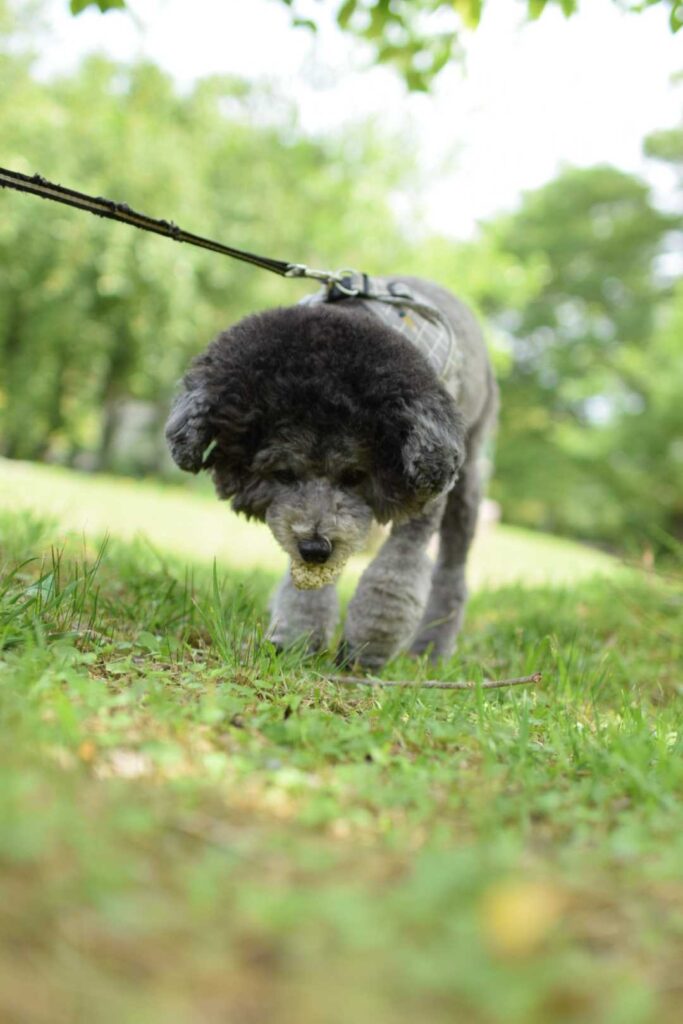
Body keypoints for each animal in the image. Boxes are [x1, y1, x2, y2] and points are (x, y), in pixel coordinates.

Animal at [165, 276, 497, 667]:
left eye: (355, 475)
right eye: (284, 473)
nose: (315, 547)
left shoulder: (426, 489)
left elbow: (394, 576)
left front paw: (368, 646)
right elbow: (307, 581)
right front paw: (297, 637)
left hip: (468, 473)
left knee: (452, 571)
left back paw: (431, 650)